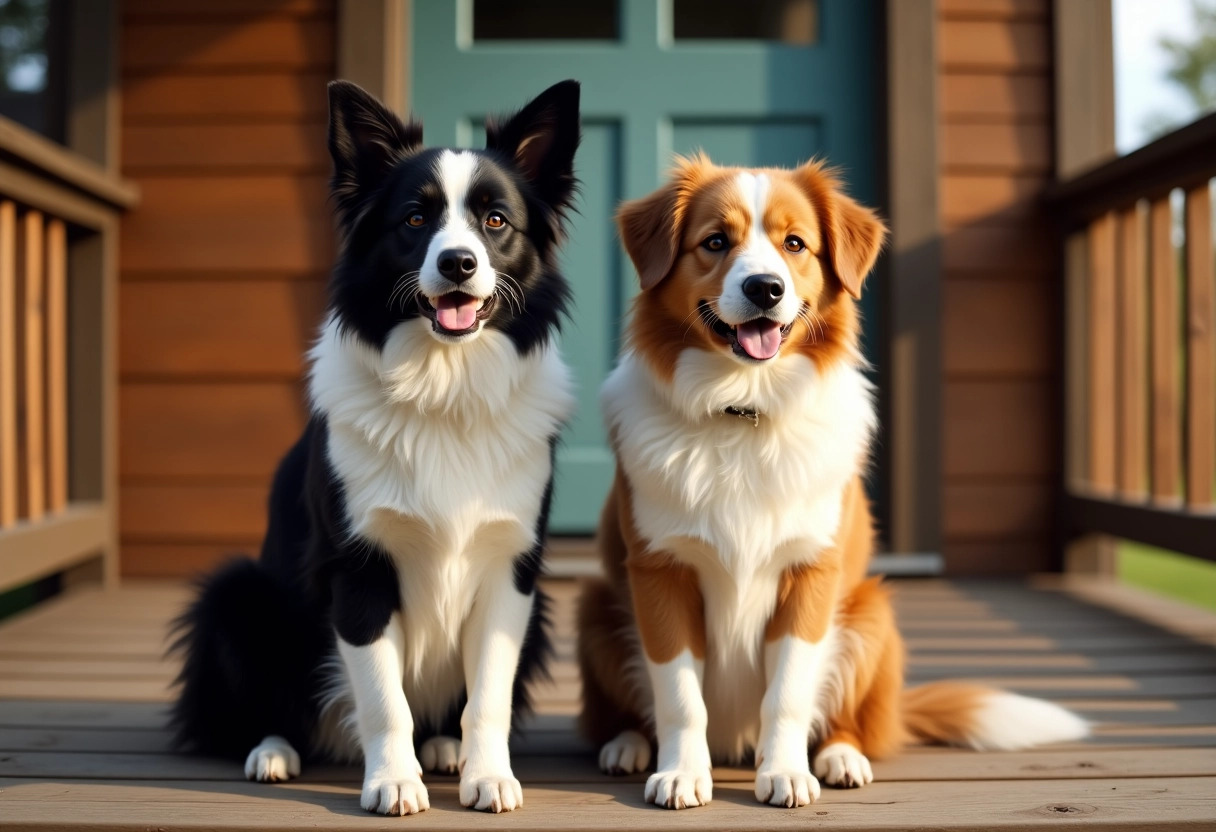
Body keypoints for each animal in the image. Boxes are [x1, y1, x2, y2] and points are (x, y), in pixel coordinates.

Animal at [169, 81, 581, 817]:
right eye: (414, 219)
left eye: (495, 221)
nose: (457, 263)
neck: (443, 387)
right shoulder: (358, 568)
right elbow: (386, 699)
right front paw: (393, 781)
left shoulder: (512, 570)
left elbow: (489, 698)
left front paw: (487, 775)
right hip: (236, 595)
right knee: (267, 704)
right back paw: (273, 751)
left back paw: (442, 749)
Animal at [573, 152, 1089, 807]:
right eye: (714, 242)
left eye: (795, 244)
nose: (765, 288)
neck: (743, 410)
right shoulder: (660, 573)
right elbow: (680, 696)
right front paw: (683, 773)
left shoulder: (811, 573)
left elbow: (789, 692)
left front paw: (786, 771)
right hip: (596, 605)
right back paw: (628, 744)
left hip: (871, 613)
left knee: (847, 720)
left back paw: (842, 756)